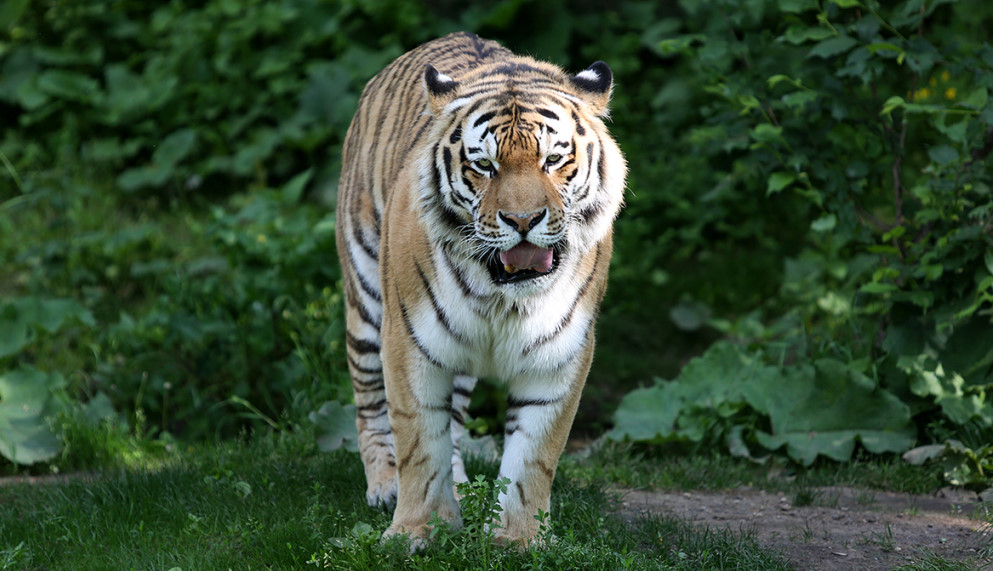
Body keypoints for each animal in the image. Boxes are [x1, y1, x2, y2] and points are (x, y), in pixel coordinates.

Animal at [334, 30, 628, 544]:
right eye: (485, 165)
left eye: (553, 160)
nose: (523, 221)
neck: (502, 297)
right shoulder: (409, 342)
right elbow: (417, 442)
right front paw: (414, 532)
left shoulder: (560, 354)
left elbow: (533, 458)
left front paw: (519, 539)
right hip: (367, 299)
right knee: (369, 403)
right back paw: (385, 484)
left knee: (452, 422)